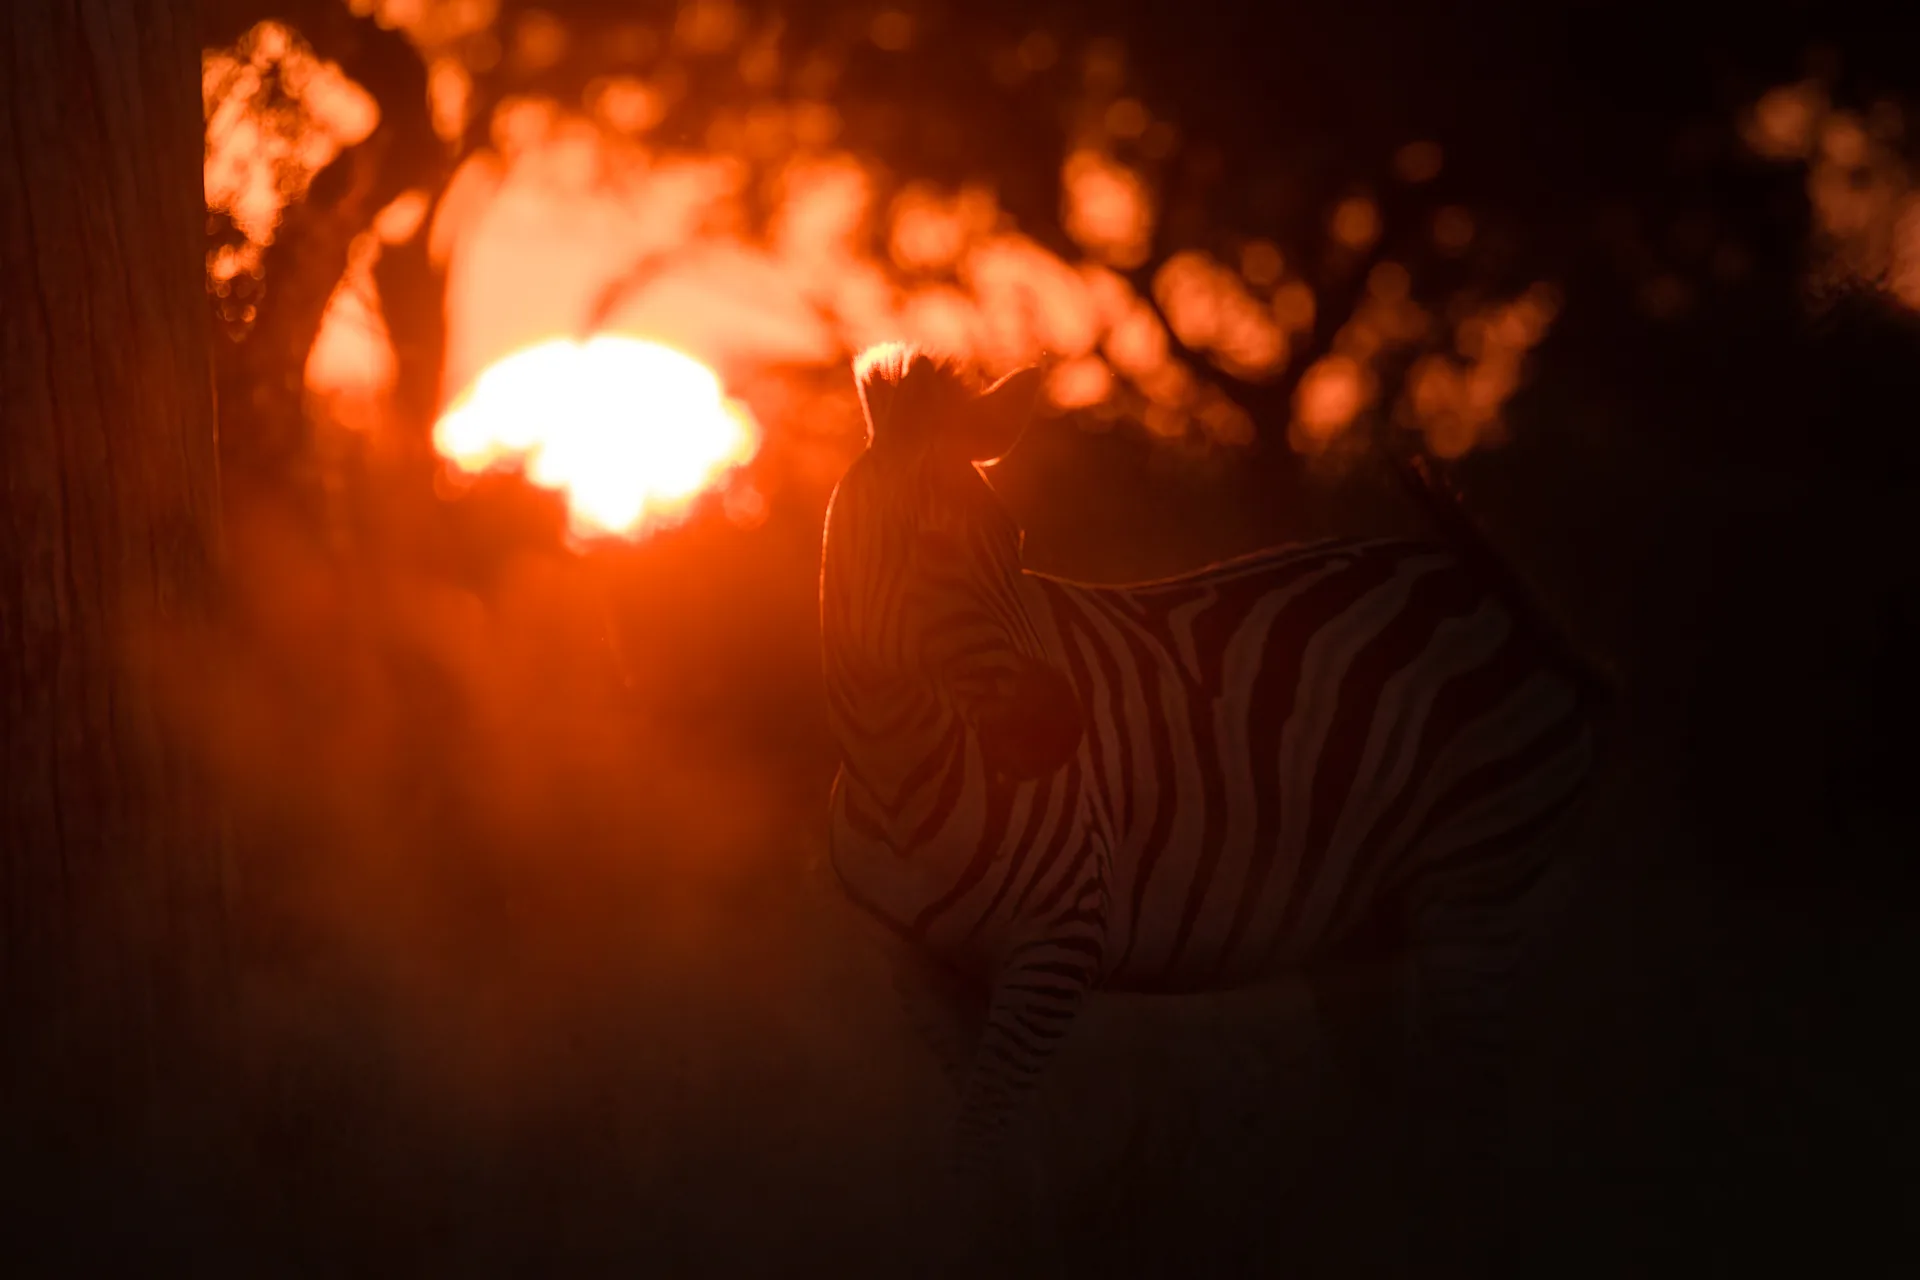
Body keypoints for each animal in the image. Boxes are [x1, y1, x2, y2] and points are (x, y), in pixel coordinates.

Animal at [820, 343, 1611, 1264]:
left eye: (1014, 543)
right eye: (925, 544)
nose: (1057, 728)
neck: (897, 765)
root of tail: (1497, 590)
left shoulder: (1057, 944)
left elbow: (983, 1145)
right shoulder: (922, 971)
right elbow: (999, 1162)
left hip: (1477, 885)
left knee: (1476, 1123)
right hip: (1362, 931)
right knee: (1393, 1115)